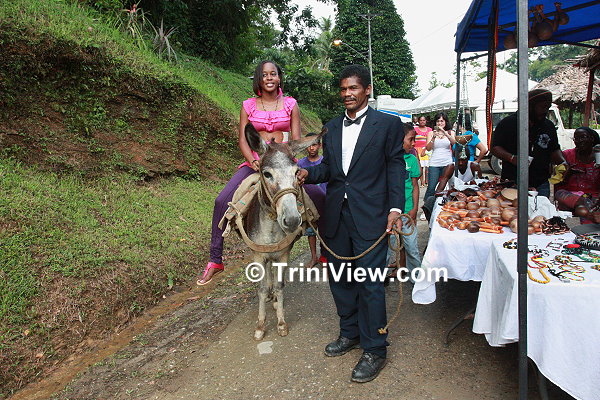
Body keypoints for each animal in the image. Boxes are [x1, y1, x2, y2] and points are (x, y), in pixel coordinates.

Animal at [242, 123, 324, 340]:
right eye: (267, 174)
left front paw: (280, 323)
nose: (293, 219)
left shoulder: (283, 254)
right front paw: (260, 326)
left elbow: (280, 285)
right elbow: (262, 288)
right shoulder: (258, 255)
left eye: (296, 173)